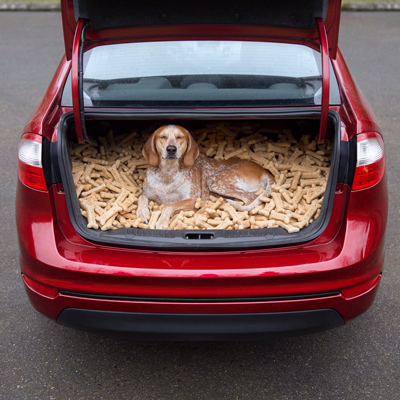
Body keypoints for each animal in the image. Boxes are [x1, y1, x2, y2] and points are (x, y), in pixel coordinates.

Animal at [136, 125, 274, 228]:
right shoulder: (148, 193)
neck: (167, 173)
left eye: (180, 137)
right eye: (162, 137)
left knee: (250, 198)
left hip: (215, 180)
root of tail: (264, 170)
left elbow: (168, 206)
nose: (171, 149)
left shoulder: (192, 200)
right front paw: (142, 213)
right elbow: (141, 196)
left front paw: (161, 222)